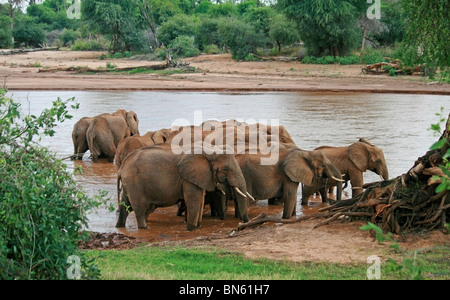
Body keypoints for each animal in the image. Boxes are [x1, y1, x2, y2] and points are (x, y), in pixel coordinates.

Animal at [115, 144, 250, 231]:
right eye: (226, 169)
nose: (244, 222)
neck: (207, 151)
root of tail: (121, 169)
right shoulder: (188, 178)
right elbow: (194, 201)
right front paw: (191, 229)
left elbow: (200, 199)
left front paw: (197, 226)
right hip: (135, 183)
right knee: (139, 208)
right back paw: (143, 228)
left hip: (129, 183)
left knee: (124, 205)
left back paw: (119, 227)